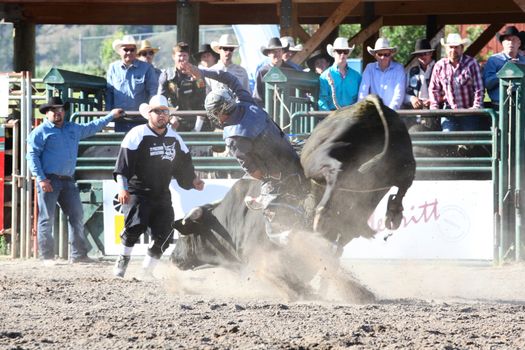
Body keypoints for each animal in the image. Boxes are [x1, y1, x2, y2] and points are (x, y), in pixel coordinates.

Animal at [170, 94, 416, 302]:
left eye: (182, 235)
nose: (173, 258)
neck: (230, 222)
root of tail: (368, 103)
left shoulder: (260, 261)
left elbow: (288, 281)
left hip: (318, 157)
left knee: (335, 171)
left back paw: (322, 214)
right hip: (397, 159)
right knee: (405, 178)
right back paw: (393, 212)